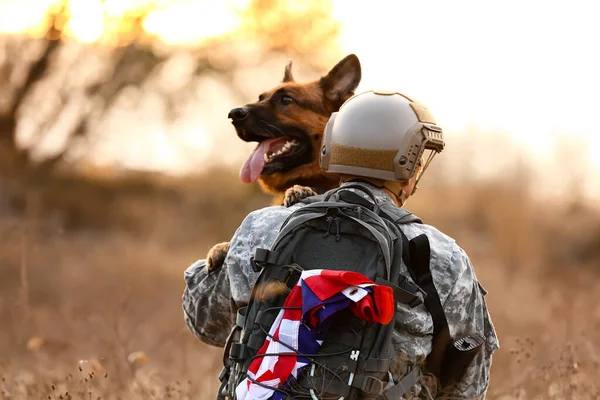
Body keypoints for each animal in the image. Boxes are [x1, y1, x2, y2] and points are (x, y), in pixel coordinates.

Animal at [206, 54, 360, 270]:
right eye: (260, 98)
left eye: (286, 99)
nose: (233, 114)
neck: (318, 179)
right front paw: (222, 246)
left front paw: (299, 190)